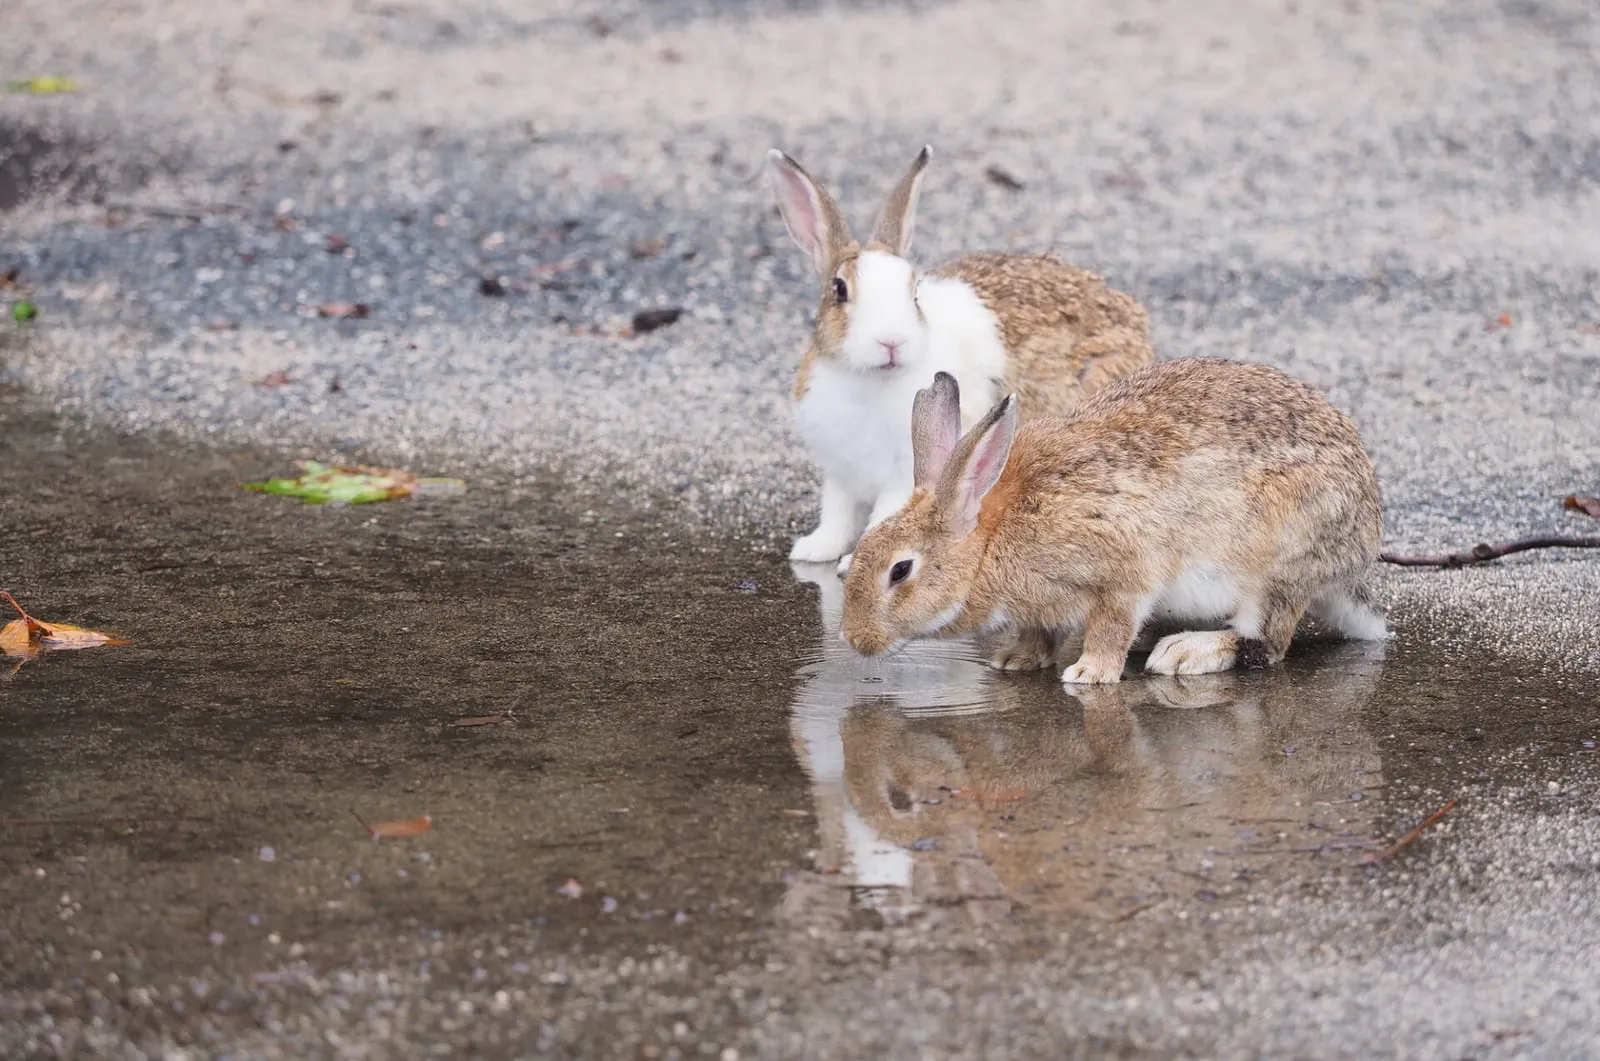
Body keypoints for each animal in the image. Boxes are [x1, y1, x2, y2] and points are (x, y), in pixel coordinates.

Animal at [765, 145, 1155, 568]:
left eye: (914, 294)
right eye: (839, 290)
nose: (891, 341)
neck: (868, 380)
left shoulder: (905, 473)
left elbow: (884, 516)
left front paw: (853, 562)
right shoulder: (838, 474)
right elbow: (836, 514)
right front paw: (812, 550)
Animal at [838, 359, 1390, 686]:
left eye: (900, 571)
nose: (851, 639)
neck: (988, 542)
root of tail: (1359, 545)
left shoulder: (1124, 570)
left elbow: (1112, 623)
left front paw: (1088, 673)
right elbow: (1040, 629)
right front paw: (1017, 659)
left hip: (1277, 559)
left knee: (1267, 641)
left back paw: (1184, 652)